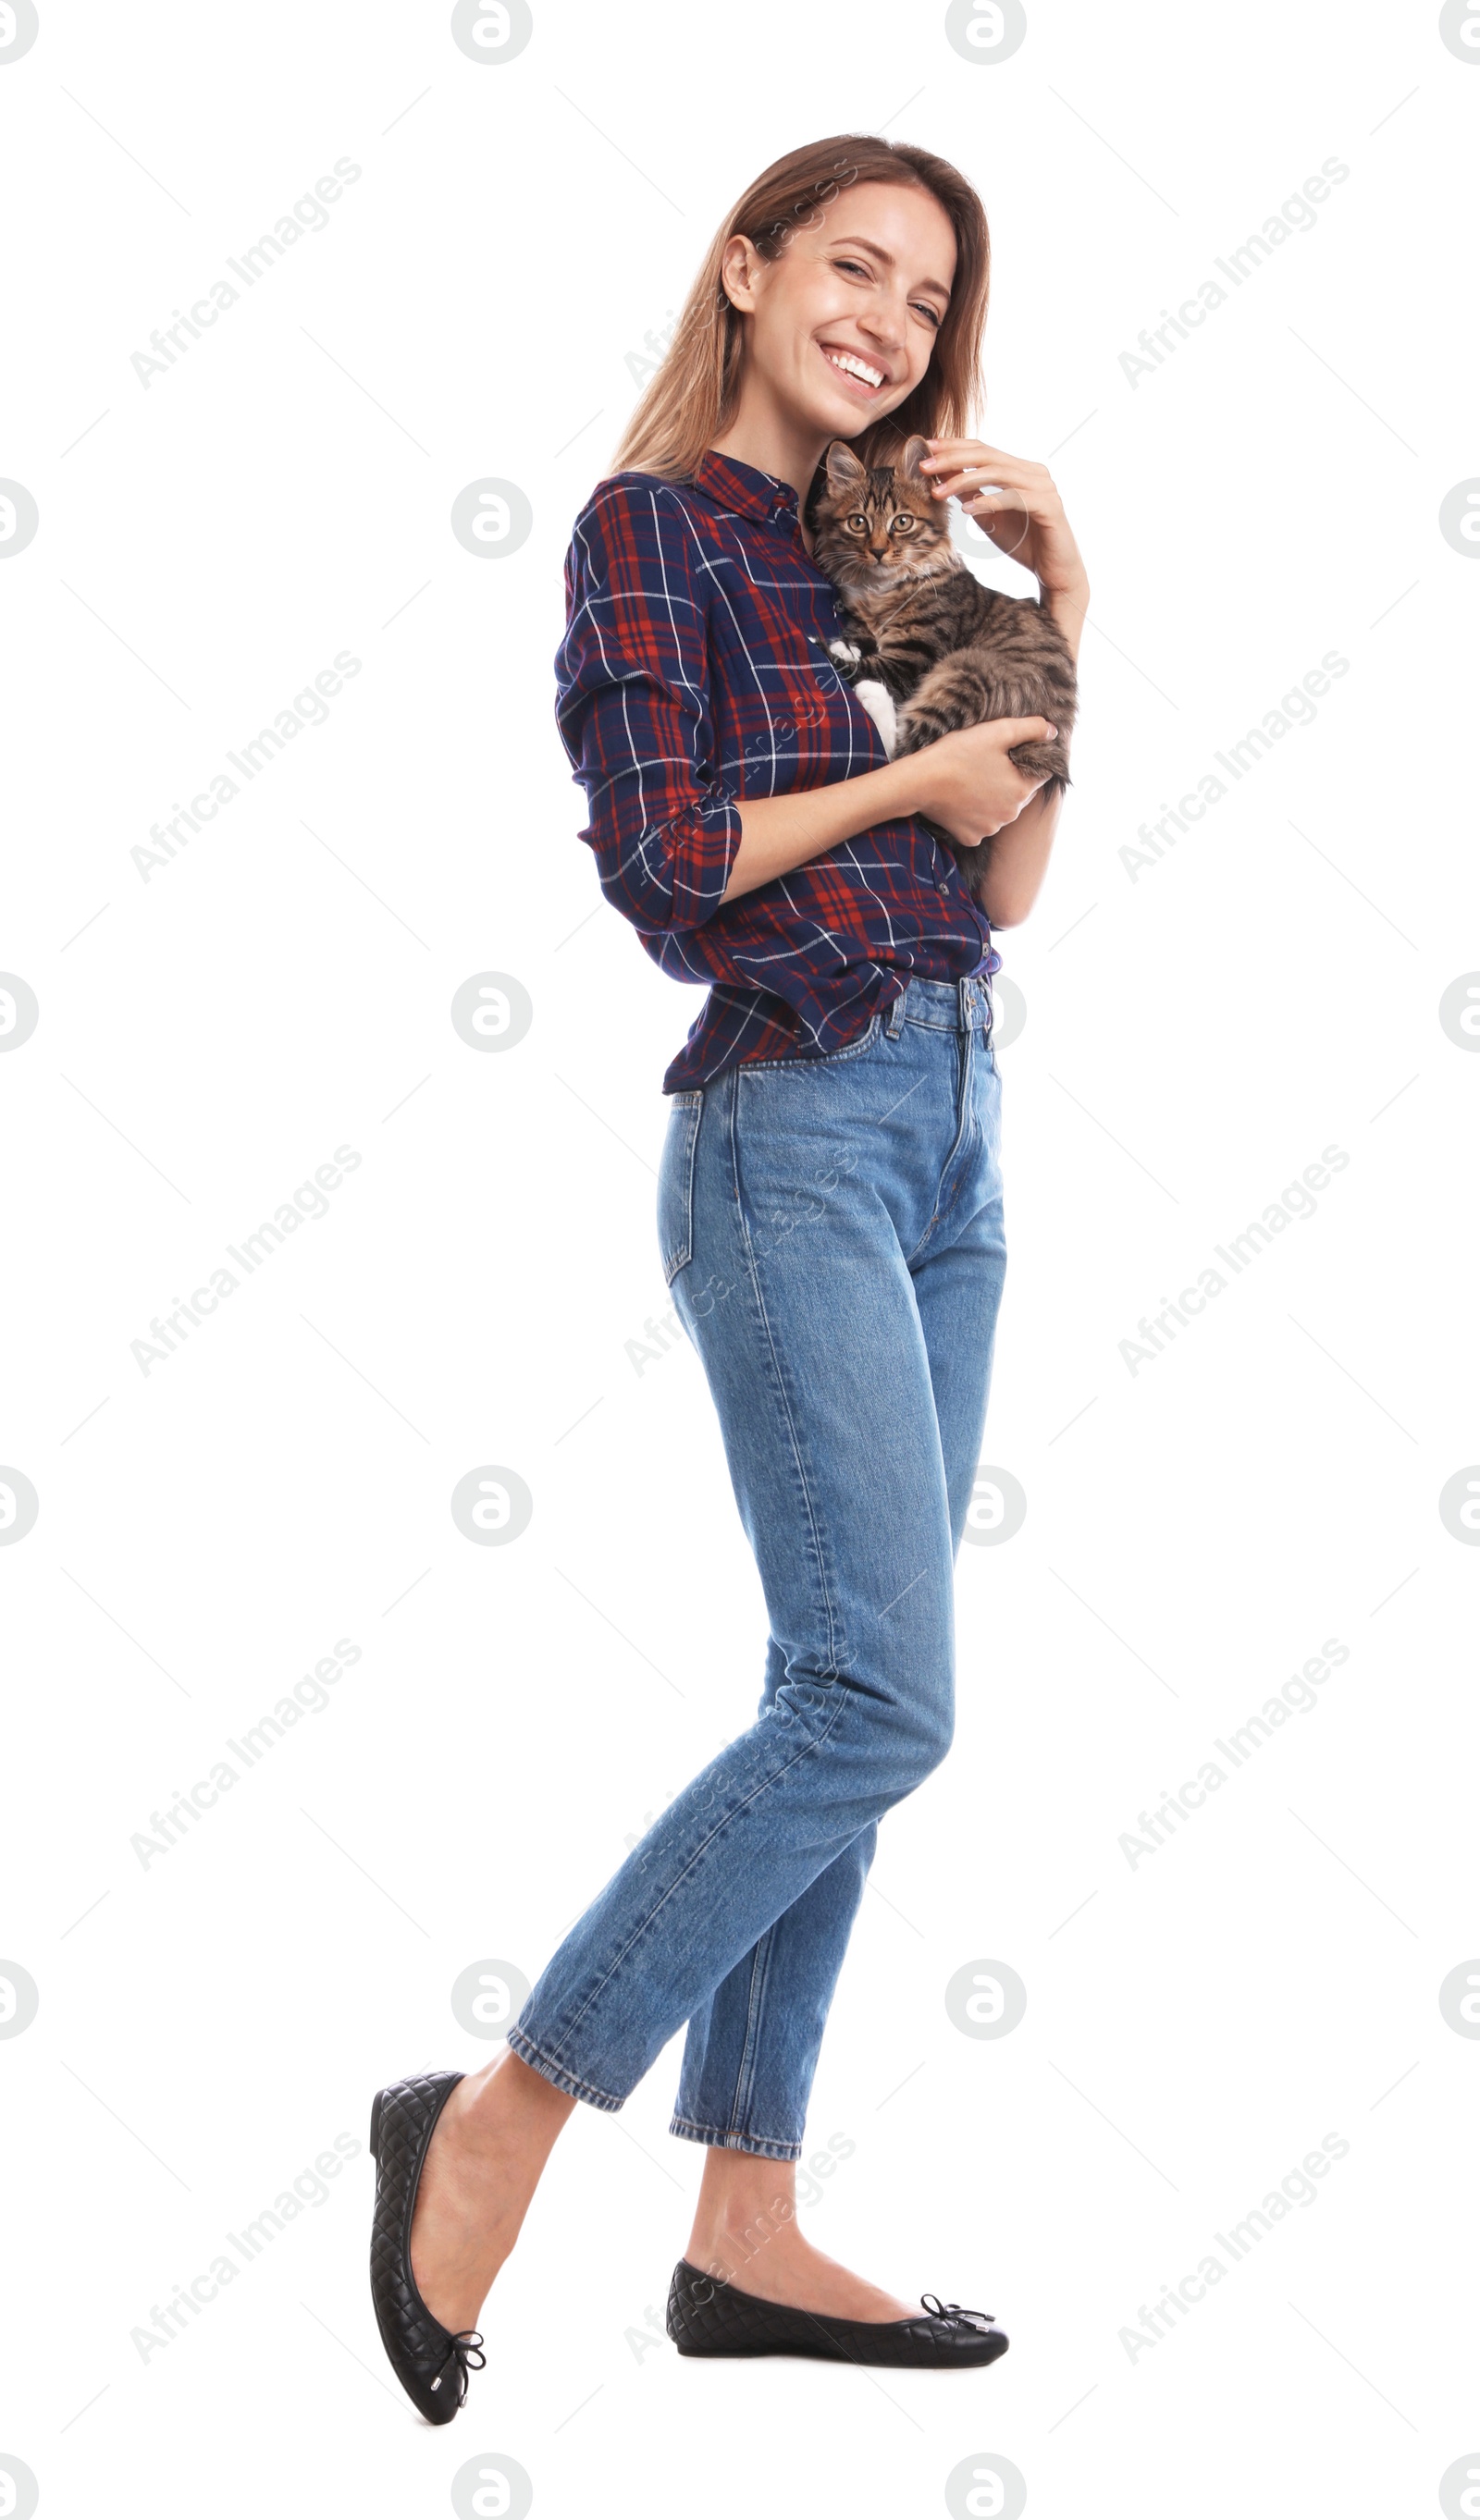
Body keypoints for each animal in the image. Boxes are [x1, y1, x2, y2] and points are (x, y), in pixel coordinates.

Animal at [811, 438, 1079, 902]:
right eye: (859, 522)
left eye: (901, 522)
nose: (878, 550)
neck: (883, 588)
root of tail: (1048, 751)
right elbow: (863, 637)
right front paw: (852, 639)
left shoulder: (916, 655)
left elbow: (872, 665)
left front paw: (837, 649)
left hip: (965, 671)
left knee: (904, 752)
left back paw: (871, 695)